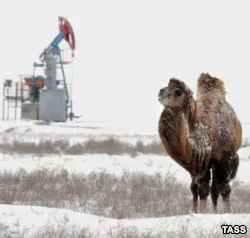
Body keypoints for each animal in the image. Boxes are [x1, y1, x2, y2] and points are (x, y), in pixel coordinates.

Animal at [158, 73, 242, 213]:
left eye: (178, 92)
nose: (160, 92)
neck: (209, 135)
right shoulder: (202, 161)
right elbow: (202, 190)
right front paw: (201, 212)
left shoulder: (226, 157)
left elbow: (225, 188)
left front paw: (228, 211)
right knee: (198, 188)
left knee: (215, 188)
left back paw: (215, 210)